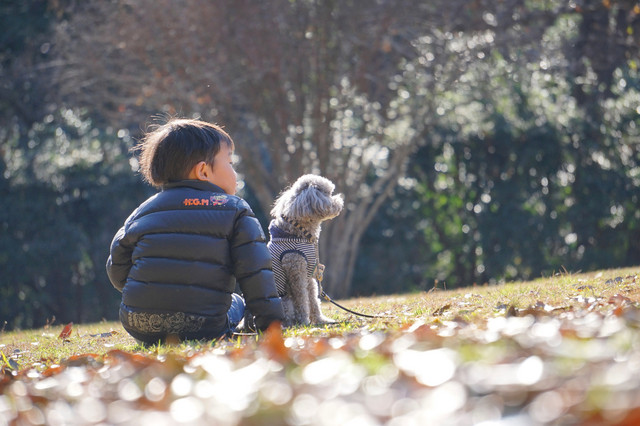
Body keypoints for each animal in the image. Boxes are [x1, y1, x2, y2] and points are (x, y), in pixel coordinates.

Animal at [267, 174, 344, 326]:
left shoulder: (310, 274)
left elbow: (313, 300)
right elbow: (302, 299)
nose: (340, 201)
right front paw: (304, 321)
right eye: (328, 193)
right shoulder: (296, 270)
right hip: (284, 301)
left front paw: (320, 320)